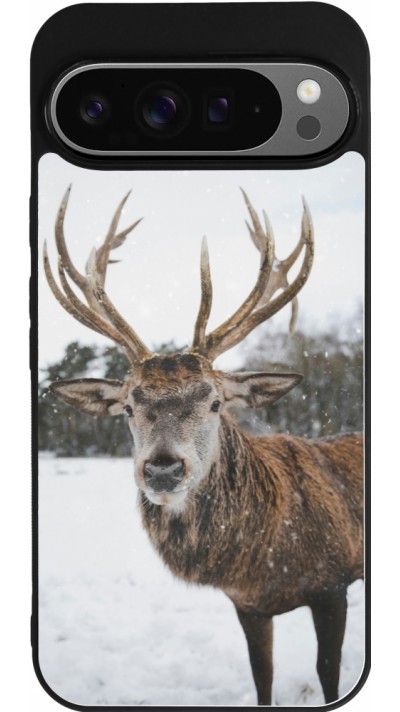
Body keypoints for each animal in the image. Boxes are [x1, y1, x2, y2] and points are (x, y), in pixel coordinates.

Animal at [43, 187, 364, 706]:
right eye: (128, 406)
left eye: (215, 402)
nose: (163, 470)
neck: (265, 559)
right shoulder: (248, 604)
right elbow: (262, 676)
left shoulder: (333, 582)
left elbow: (328, 674)